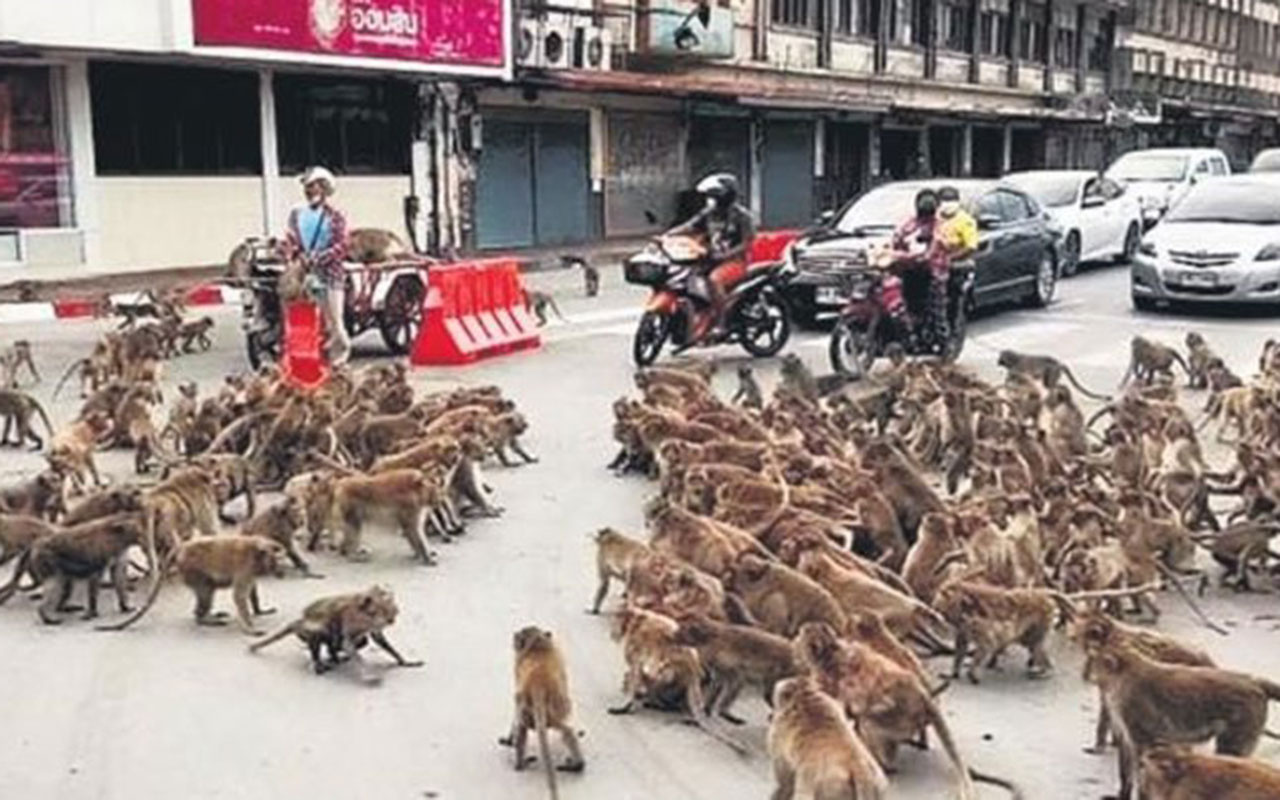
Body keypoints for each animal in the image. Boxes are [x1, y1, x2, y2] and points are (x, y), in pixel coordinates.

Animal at [101, 532, 288, 632]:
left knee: (208, 589)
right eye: (277, 559)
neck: (257, 554)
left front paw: (259, 610)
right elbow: (239, 595)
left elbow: (250, 591)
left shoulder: (252, 569)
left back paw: (206, 615)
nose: (282, 569)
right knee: (207, 589)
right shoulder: (246, 566)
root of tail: (182, 547)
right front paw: (250, 627)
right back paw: (202, 618)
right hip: (191, 568)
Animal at [496, 624, 586, 798]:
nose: (515, 642)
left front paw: (509, 740)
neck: (537, 643)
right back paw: (577, 765)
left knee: (523, 724)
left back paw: (520, 764)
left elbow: (516, 711)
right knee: (566, 728)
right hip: (555, 709)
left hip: (534, 709)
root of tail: (538, 685)